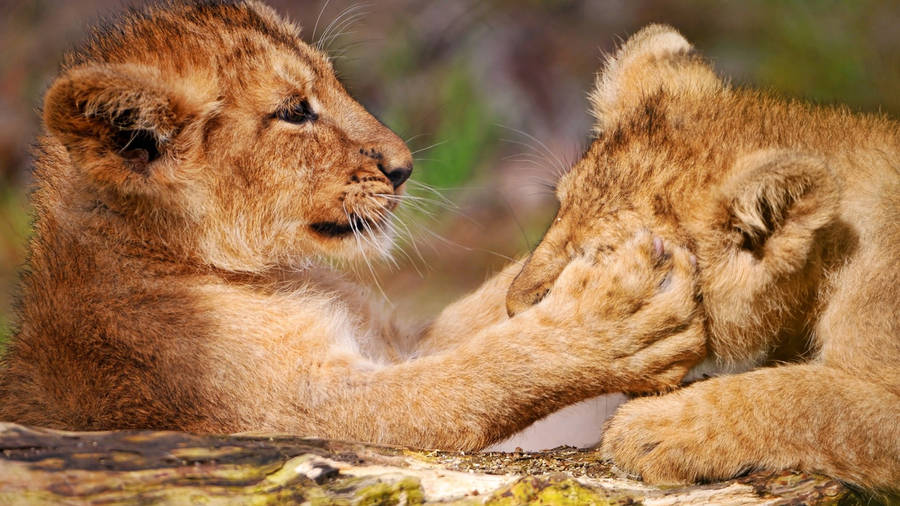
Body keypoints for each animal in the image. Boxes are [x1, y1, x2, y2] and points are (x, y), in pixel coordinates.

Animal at [0, 2, 705, 452]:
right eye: (293, 112)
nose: (403, 167)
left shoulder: (386, 342)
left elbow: (486, 314)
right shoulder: (299, 419)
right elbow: (472, 376)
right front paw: (620, 320)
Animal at [506, 25, 899, 491]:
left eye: (606, 258)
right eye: (560, 207)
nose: (511, 307)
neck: (831, 258)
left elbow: (810, 402)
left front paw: (652, 429)